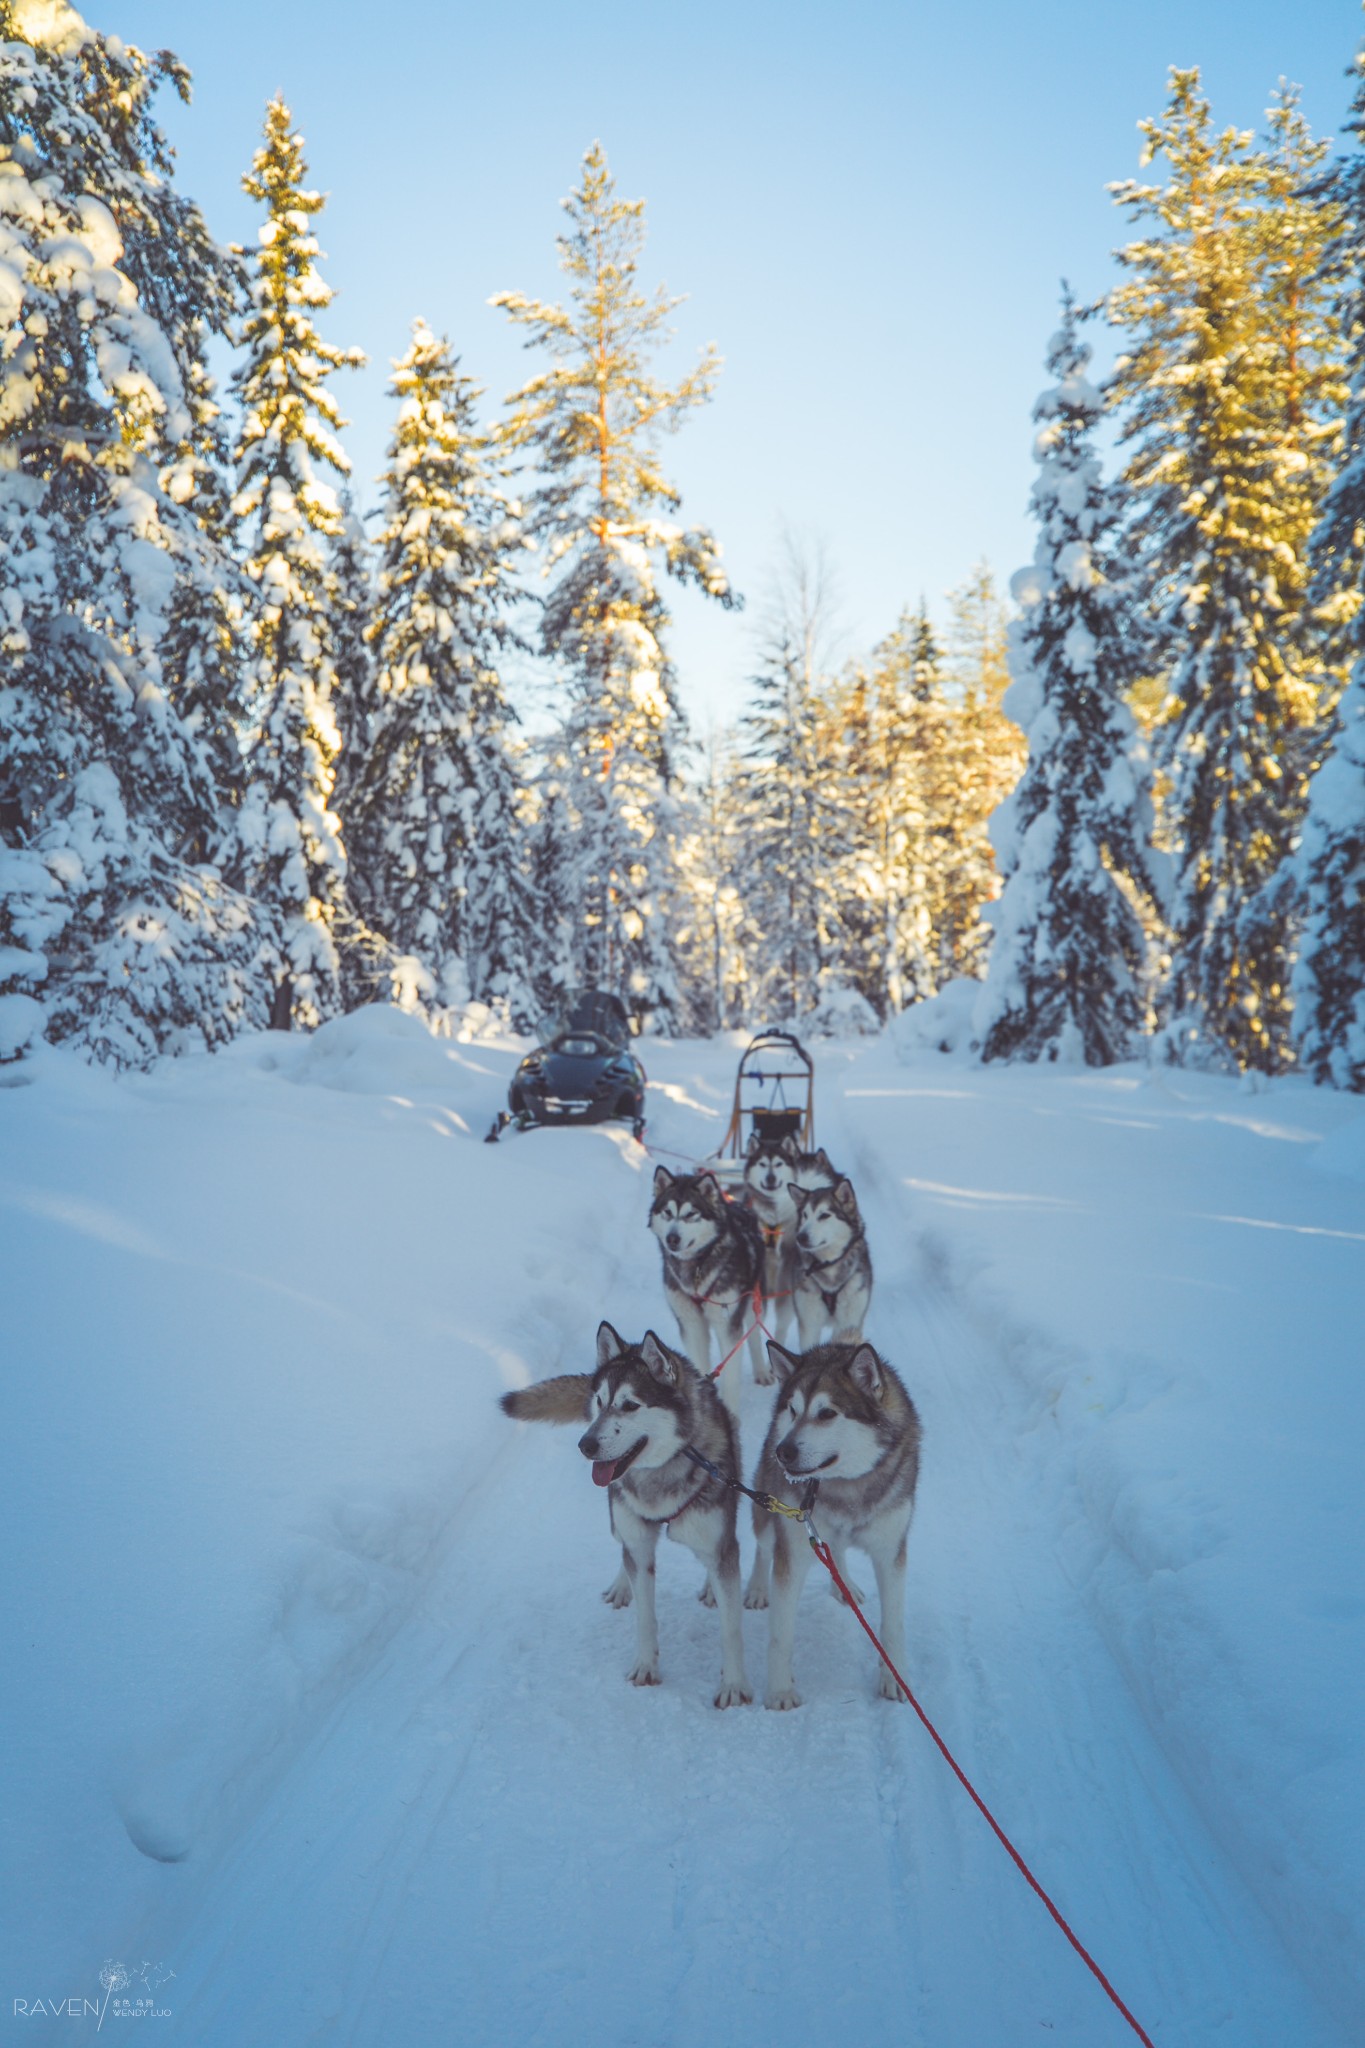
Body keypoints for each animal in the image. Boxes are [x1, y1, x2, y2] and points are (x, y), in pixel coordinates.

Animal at [505, 1318, 757, 1703]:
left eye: (630, 1405)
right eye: (600, 1401)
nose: (585, 1445)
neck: (661, 1474)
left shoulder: (718, 1542)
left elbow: (731, 1628)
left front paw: (733, 1685)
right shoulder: (638, 1542)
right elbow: (644, 1614)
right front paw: (646, 1666)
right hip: (616, 1514)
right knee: (623, 1549)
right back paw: (621, 1585)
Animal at [650, 1171, 769, 1409]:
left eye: (691, 1214)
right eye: (667, 1212)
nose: (672, 1238)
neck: (696, 1267)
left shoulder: (727, 1325)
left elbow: (731, 1375)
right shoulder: (691, 1323)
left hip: (752, 1299)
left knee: (754, 1334)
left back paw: (761, 1371)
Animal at [740, 1335, 925, 1703]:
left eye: (827, 1413)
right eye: (793, 1410)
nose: (783, 1451)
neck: (844, 1486)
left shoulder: (890, 1552)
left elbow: (893, 1625)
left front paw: (895, 1677)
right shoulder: (793, 1551)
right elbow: (781, 1634)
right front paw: (780, 1690)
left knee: (834, 1549)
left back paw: (845, 1586)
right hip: (770, 1513)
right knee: (763, 1547)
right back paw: (756, 1588)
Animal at [789, 1179, 875, 1351]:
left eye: (824, 1215)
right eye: (805, 1215)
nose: (801, 1237)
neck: (828, 1266)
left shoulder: (849, 1322)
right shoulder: (809, 1323)